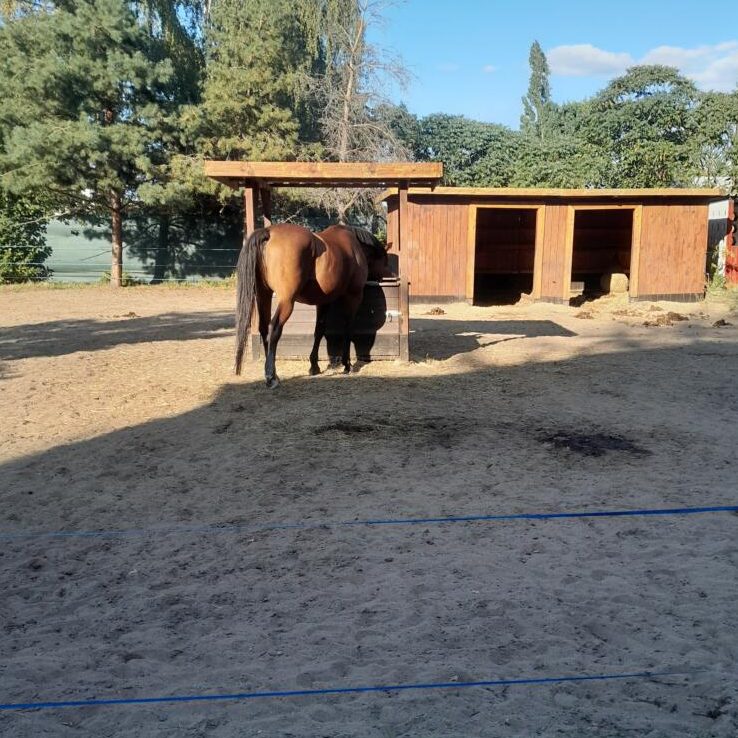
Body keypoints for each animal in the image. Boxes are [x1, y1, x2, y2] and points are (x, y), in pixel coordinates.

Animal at [234, 223, 391, 388]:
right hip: (286, 301)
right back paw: (271, 376)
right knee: (274, 329)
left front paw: (314, 365)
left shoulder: (324, 301)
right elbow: (348, 328)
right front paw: (346, 364)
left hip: (264, 295)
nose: (390, 275)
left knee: (264, 329)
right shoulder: (353, 296)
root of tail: (268, 232)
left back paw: (273, 373)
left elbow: (319, 330)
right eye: (385, 261)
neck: (354, 247)